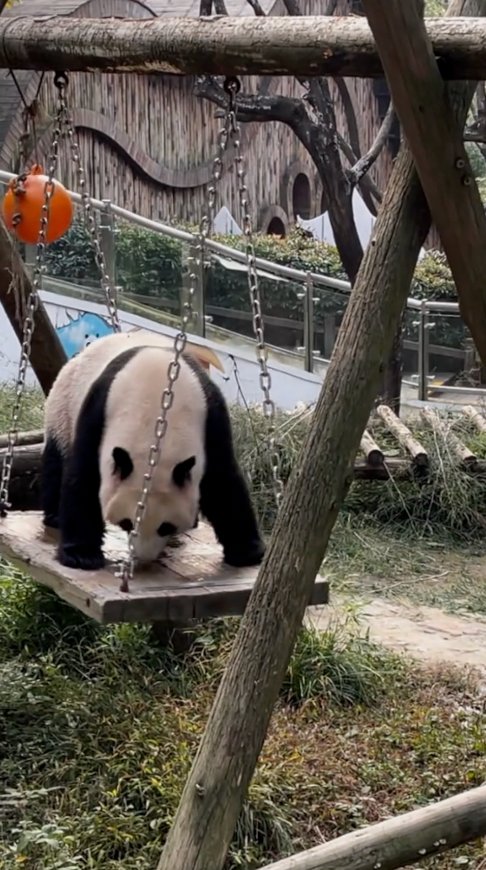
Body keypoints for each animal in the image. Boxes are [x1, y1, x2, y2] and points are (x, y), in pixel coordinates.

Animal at [41, 330, 265, 572]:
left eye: (165, 526)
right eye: (127, 523)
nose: (144, 557)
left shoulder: (211, 417)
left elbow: (221, 480)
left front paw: (248, 552)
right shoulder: (98, 413)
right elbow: (84, 475)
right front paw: (81, 556)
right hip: (64, 405)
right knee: (57, 458)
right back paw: (55, 517)